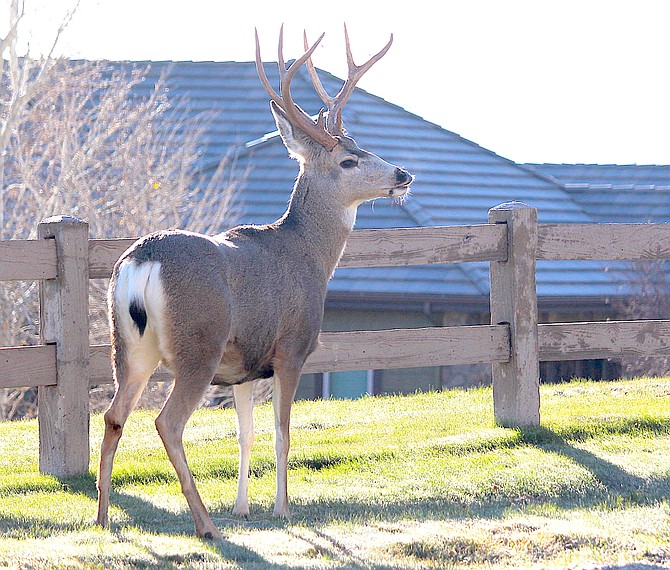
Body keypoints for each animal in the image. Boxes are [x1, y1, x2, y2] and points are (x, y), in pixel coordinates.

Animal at [95, 25, 414, 536]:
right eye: (349, 160)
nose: (403, 174)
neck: (310, 256)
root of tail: (142, 262)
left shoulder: (242, 367)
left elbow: (245, 435)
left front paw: (244, 507)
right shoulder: (291, 348)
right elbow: (283, 433)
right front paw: (283, 509)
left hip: (128, 347)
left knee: (113, 416)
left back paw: (104, 518)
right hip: (197, 345)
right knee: (167, 422)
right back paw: (205, 523)